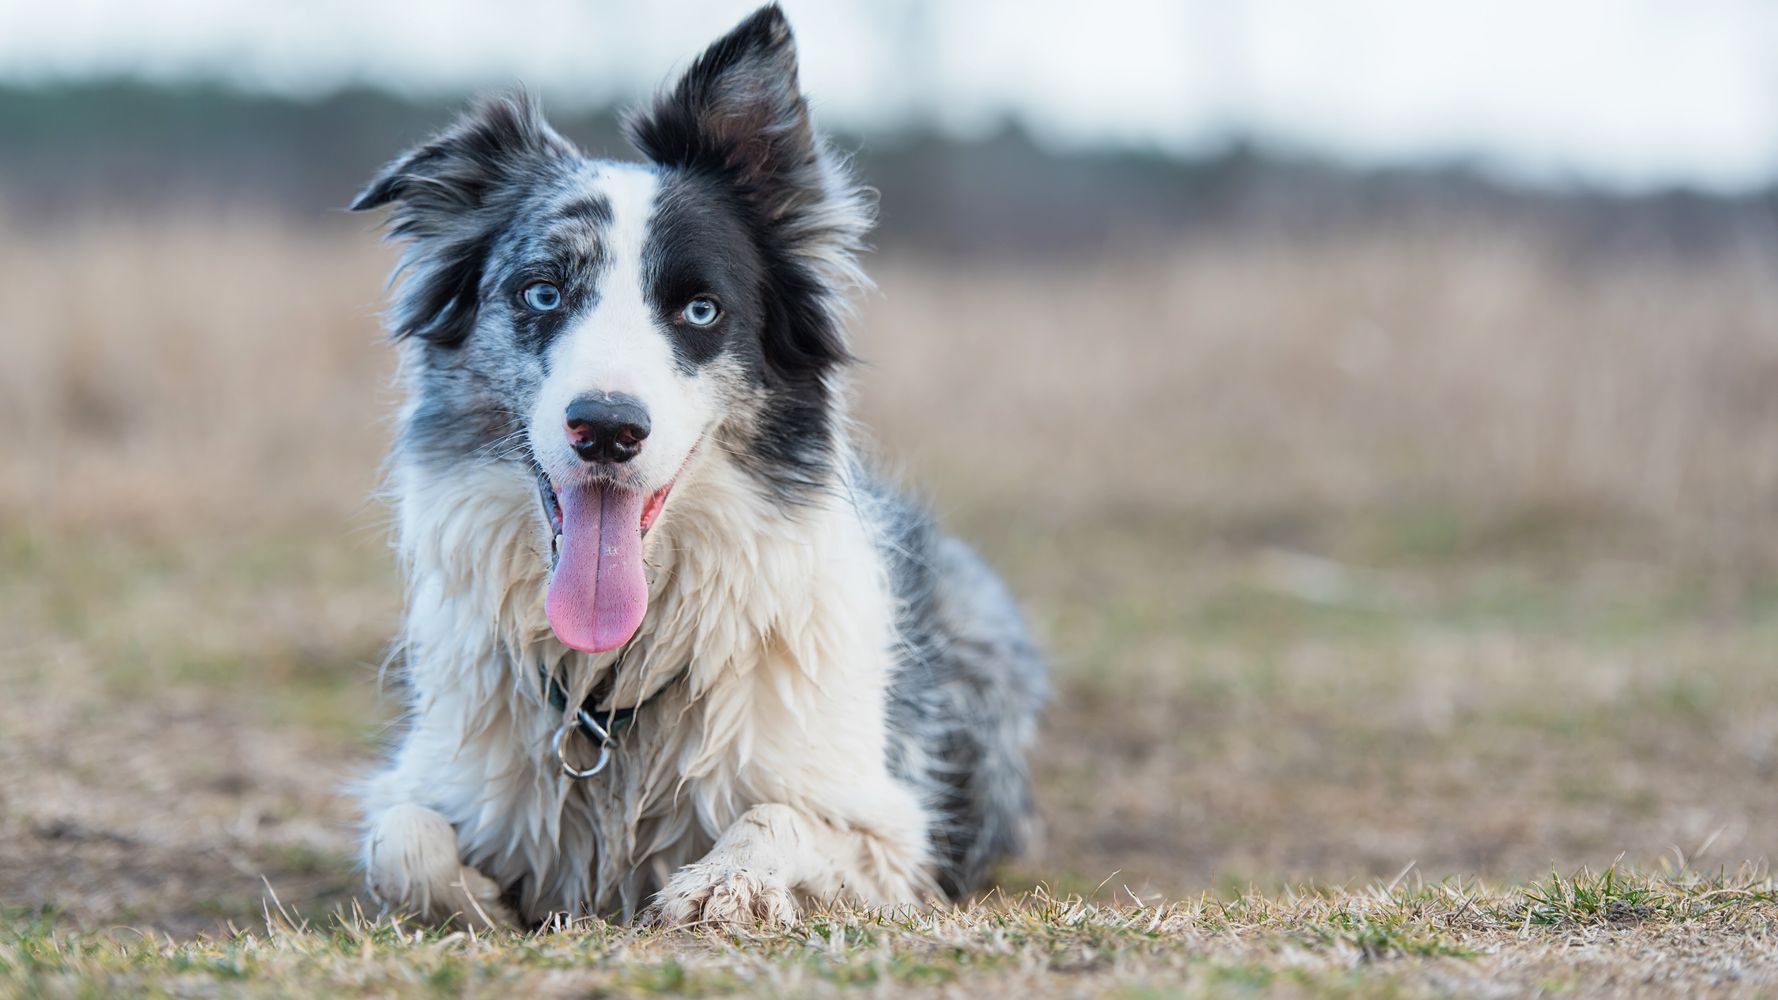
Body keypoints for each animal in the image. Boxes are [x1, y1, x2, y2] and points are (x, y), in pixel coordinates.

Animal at [346, 3, 1038, 925]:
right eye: (542, 293)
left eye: (700, 310)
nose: (607, 428)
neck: (608, 695)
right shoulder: (435, 778)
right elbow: (403, 841)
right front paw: (486, 904)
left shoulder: (894, 835)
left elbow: (778, 816)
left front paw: (721, 885)